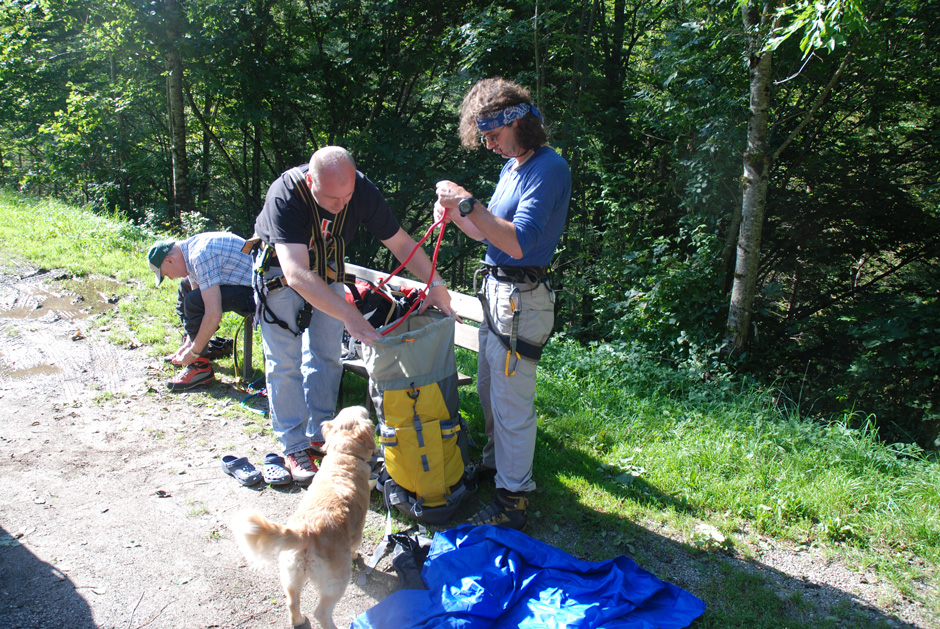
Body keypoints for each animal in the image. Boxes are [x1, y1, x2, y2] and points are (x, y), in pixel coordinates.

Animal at [231, 404, 374, 624]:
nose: (364, 406)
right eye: (365, 414)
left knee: (292, 603)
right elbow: (355, 545)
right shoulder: (357, 529)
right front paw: (356, 555)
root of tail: (305, 532)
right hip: (336, 580)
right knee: (321, 612)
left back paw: (298, 620)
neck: (343, 456)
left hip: (290, 576)